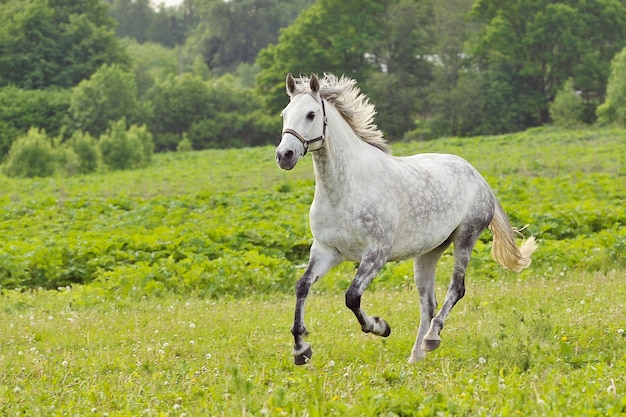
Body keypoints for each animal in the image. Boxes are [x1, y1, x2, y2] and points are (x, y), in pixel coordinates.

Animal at [276, 73, 532, 362]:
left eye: (310, 114)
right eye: (284, 114)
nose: (284, 155)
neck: (344, 189)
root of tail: (478, 176)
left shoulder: (376, 254)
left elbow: (352, 296)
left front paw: (381, 326)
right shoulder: (326, 251)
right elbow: (302, 286)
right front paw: (301, 349)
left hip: (465, 238)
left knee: (456, 289)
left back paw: (432, 338)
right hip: (428, 252)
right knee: (428, 302)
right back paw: (416, 356)